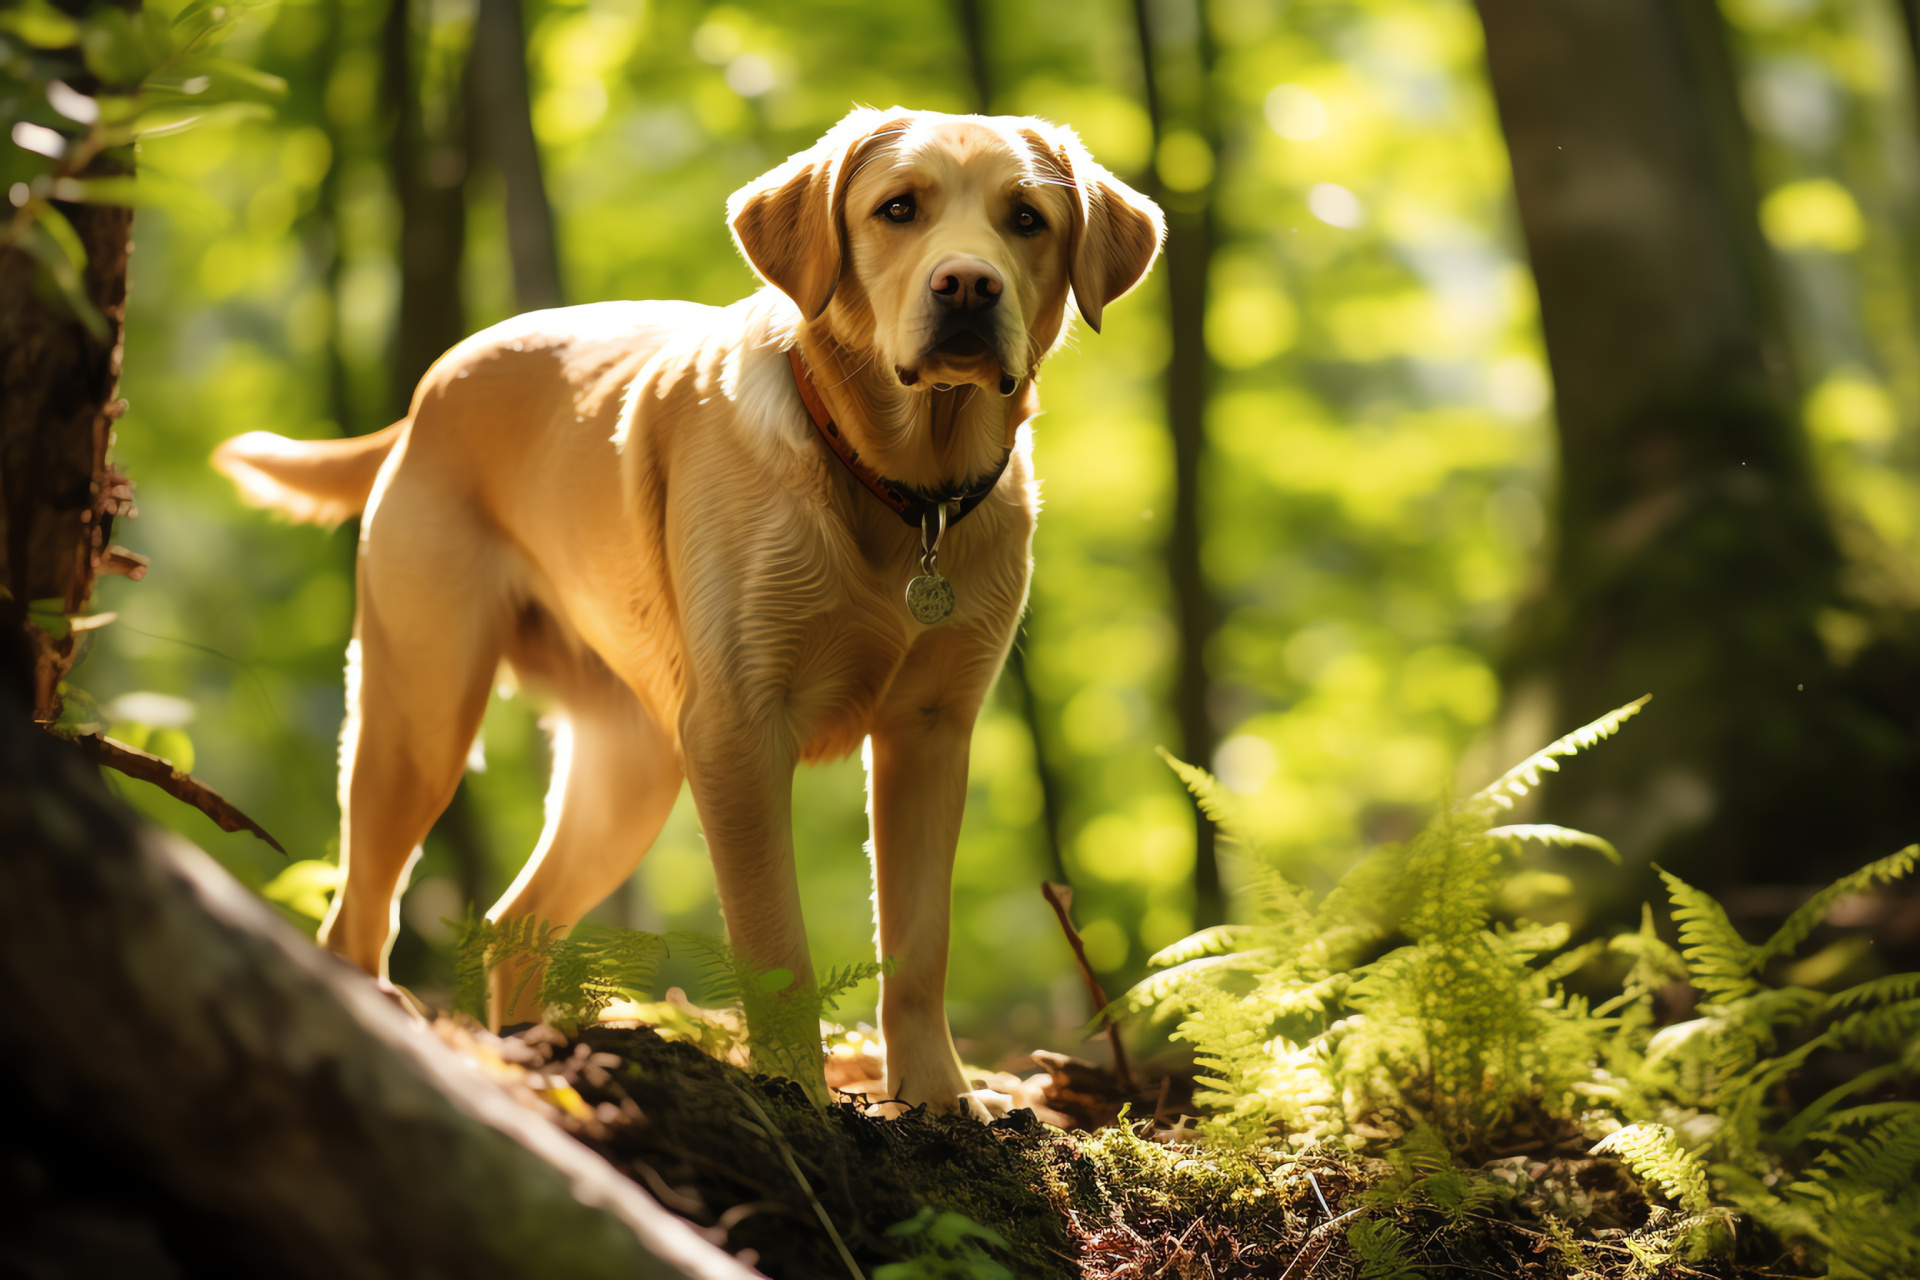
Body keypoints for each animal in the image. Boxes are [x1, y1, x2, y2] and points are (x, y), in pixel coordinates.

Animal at [217, 107, 1159, 1113]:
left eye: (1026, 219)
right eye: (898, 208)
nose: (969, 284)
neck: (902, 493)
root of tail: (428, 392)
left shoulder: (931, 732)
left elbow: (919, 943)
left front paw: (942, 1103)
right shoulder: (740, 730)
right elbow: (776, 945)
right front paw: (800, 1098)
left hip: (631, 765)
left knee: (517, 920)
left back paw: (530, 1054)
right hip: (420, 715)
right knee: (359, 908)